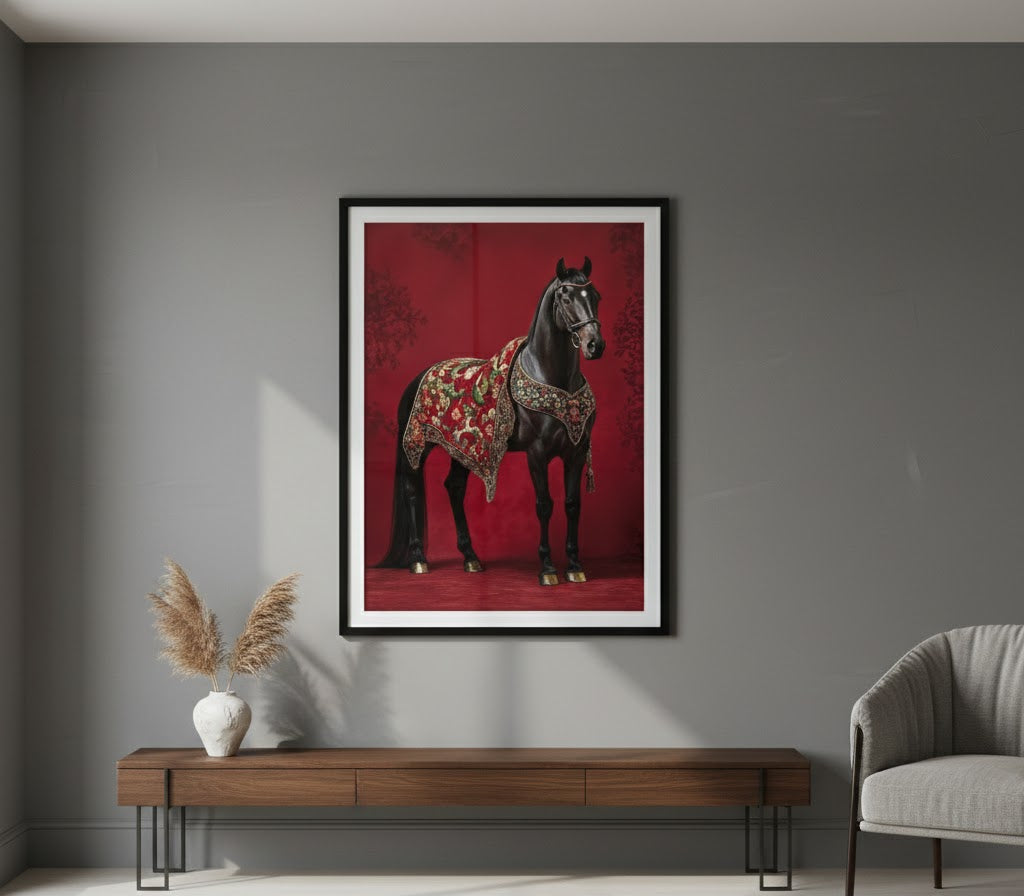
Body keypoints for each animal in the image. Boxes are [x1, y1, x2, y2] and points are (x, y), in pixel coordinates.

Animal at [376, 257, 605, 586]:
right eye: (566, 298)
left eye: (595, 296)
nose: (595, 346)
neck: (554, 378)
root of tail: (418, 377)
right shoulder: (537, 454)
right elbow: (544, 505)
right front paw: (548, 569)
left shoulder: (575, 452)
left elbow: (572, 505)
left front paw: (575, 567)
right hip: (416, 447)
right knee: (410, 490)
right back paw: (419, 560)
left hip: (461, 449)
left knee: (454, 487)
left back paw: (471, 558)